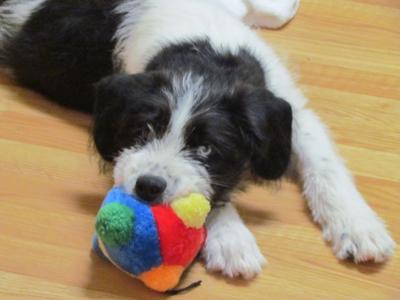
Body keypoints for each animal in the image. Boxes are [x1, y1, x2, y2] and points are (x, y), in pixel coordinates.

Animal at [0, 0, 394, 278]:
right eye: (143, 131)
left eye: (206, 148)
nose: (148, 186)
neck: (203, 50)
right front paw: (232, 239)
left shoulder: (291, 107)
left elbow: (325, 165)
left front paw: (358, 226)